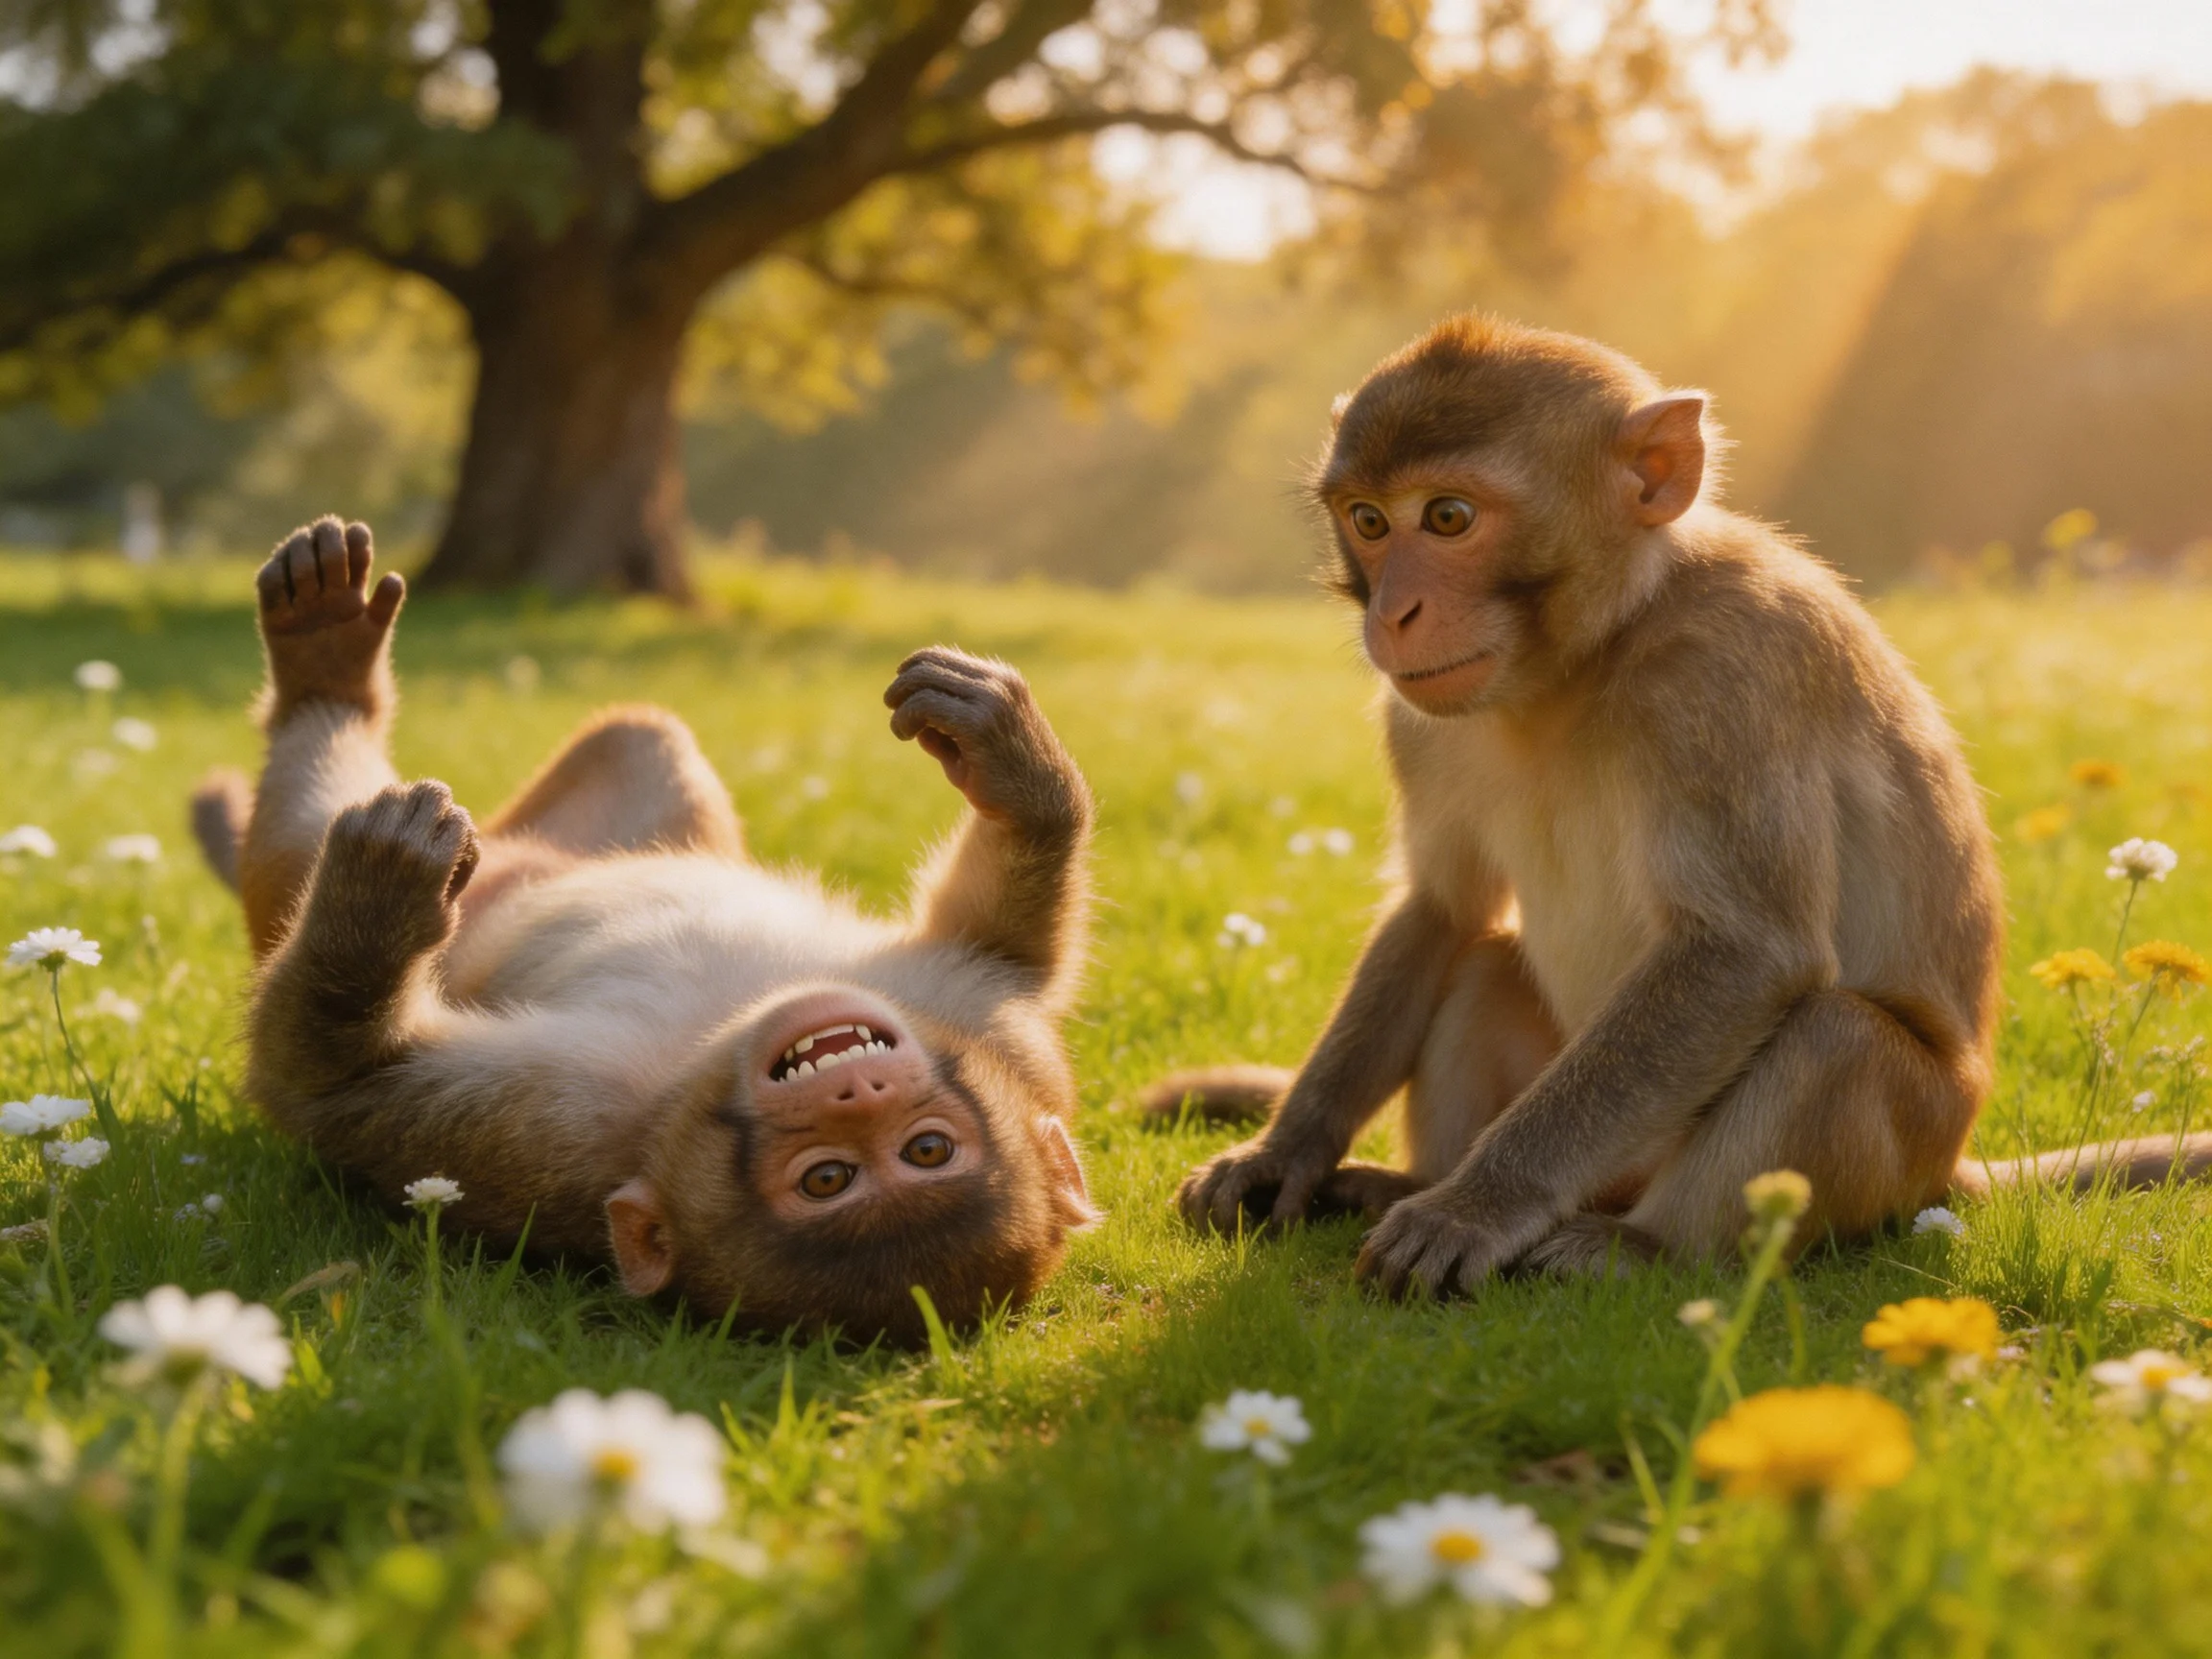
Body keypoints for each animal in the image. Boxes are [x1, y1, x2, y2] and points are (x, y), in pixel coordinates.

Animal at [191, 516, 1099, 1345]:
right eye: (924, 1152)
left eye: (837, 1176)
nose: (856, 1091)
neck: (724, 1036)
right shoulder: (994, 1030)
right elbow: (1003, 944)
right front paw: (1018, 769)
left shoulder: (549, 1129)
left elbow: (331, 1080)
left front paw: (380, 899)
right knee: (638, 739)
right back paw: (327, 653)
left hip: (293, 903)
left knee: (307, 855)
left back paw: (334, 722)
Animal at [1152, 314, 2212, 1294]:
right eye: (1369, 521)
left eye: (1448, 517)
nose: (1393, 612)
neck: (1590, 657)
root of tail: (1950, 1174)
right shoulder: (1421, 719)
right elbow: (1440, 908)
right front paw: (1284, 1153)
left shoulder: (1725, 678)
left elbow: (1746, 954)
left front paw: (1477, 1206)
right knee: (1485, 959)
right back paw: (1400, 1182)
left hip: (1894, 1157)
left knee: (1834, 1034)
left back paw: (1648, 1248)